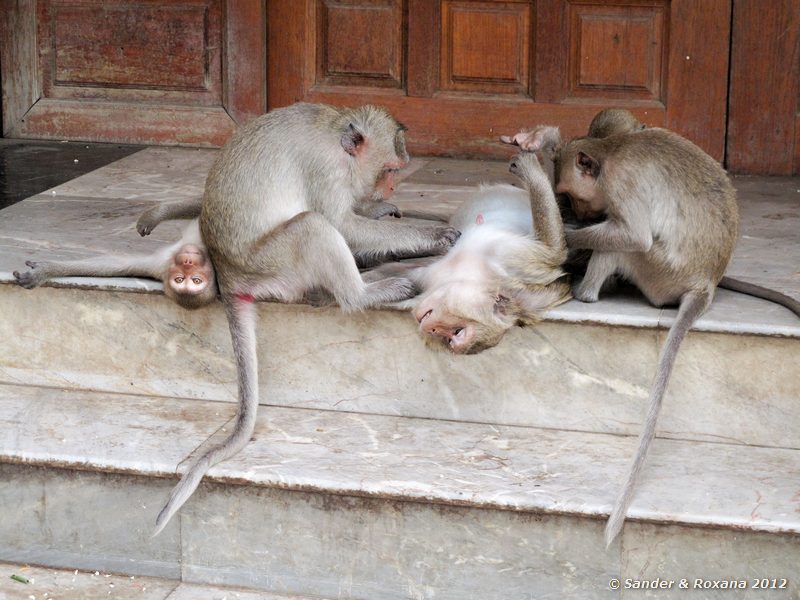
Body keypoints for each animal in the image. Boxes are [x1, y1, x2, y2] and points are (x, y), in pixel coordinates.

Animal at [13, 198, 219, 310]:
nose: (188, 262)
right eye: (180, 279)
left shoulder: (164, 268)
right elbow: (117, 264)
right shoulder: (162, 265)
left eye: (196, 281)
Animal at [152, 103, 462, 536]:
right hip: (274, 265)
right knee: (313, 226)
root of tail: (229, 278)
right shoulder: (325, 168)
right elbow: (342, 223)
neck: (338, 135)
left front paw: (378, 211)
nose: (389, 191)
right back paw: (364, 292)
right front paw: (435, 235)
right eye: (389, 169)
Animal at [504, 110, 740, 548]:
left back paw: (587, 291)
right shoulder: (615, 133)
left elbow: (632, 234)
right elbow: (613, 118)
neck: (613, 151)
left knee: (625, 246)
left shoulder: (621, 181)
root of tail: (706, 282)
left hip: (659, 273)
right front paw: (542, 140)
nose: (578, 210)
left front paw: (567, 235)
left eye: (574, 193)